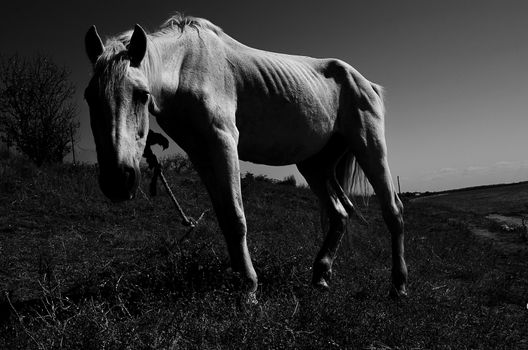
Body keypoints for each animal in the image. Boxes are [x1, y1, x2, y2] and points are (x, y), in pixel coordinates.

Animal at [83, 13, 408, 298]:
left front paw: (249, 289)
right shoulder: (200, 154)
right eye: (89, 97)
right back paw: (320, 276)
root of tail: (366, 83)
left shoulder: (224, 141)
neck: (187, 66)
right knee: (339, 214)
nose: (117, 181)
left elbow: (237, 217)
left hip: (369, 146)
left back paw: (398, 286)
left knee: (393, 211)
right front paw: (239, 279)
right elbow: (225, 218)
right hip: (314, 165)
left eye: (141, 94)